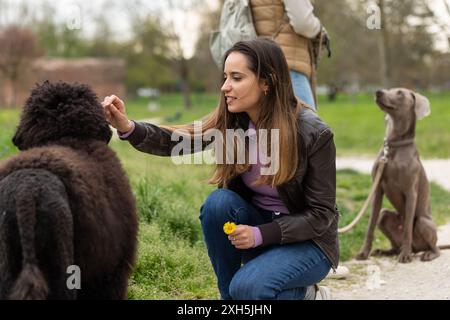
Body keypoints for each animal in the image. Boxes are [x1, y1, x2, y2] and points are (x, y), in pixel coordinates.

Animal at [356, 87, 446, 262]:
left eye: (400, 93)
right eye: (390, 89)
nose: (378, 91)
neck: (394, 146)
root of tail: (417, 248)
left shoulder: (411, 192)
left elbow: (407, 229)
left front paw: (405, 256)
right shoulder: (377, 190)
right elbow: (370, 225)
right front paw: (364, 253)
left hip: (424, 222)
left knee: (435, 247)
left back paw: (423, 253)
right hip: (384, 216)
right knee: (393, 241)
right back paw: (386, 251)